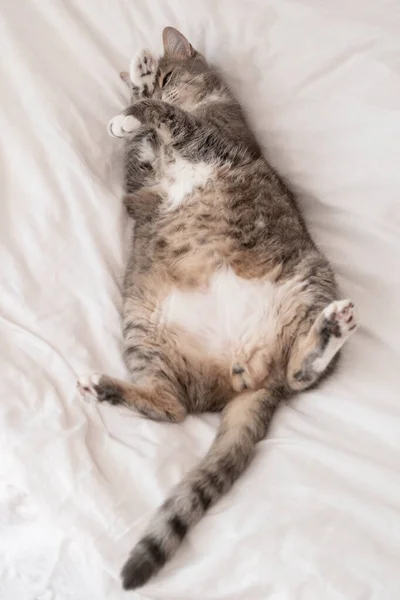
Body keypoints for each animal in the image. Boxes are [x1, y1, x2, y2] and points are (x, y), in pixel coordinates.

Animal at [76, 27, 358, 592]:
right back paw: (106, 389)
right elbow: (142, 150)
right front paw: (136, 97)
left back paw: (330, 329)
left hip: (309, 276)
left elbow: (165, 119)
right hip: (141, 326)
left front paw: (139, 90)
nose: (157, 80)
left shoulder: (214, 138)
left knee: (298, 376)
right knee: (171, 406)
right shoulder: (141, 186)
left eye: (172, 74)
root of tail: (247, 375)